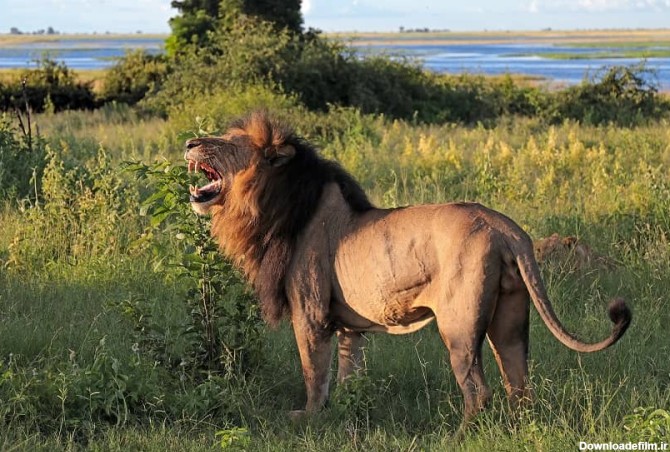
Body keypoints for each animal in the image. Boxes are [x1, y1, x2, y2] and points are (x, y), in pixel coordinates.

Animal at [185, 111, 636, 432]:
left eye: (228, 143)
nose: (189, 141)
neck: (273, 205)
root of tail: (507, 227)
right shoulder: (349, 327)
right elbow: (349, 376)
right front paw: (347, 414)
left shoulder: (311, 315)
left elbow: (314, 374)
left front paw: (308, 418)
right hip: (509, 319)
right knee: (518, 383)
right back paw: (519, 429)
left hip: (458, 325)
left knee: (479, 391)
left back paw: (459, 436)